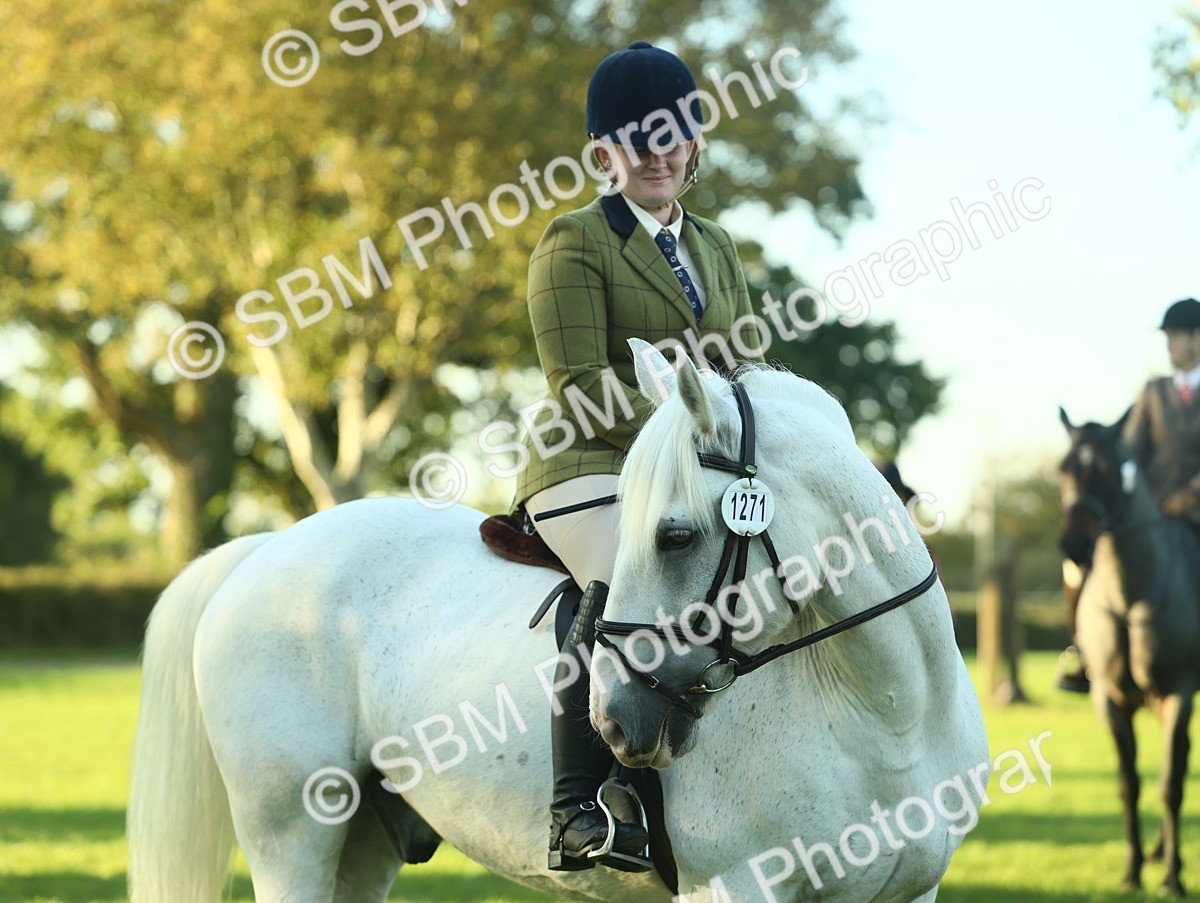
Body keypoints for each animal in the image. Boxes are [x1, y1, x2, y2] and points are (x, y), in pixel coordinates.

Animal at [127, 340, 987, 903]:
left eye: (675, 535)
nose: (614, 722)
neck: (884, 711)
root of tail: (265, 549)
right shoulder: (735, 883)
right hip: (290, 829)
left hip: (362, 839)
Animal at [1058, 407, 1200, 897]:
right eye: (1063, 468)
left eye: (1105, 469)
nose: (1074, 546)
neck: (1131, 596)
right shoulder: (1112, 700)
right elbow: (1129, 783)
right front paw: (1133, 871)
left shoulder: (1178, 694)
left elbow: (1171, 785)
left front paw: (1173, 879)